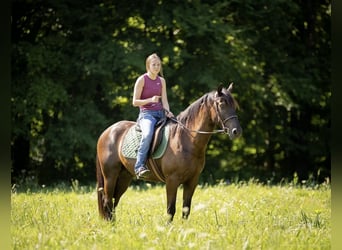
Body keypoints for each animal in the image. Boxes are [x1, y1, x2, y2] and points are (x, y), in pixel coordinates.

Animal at [95, 83, 242, 222]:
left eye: (234, 105)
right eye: (221, 103)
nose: (236, 131)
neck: (186, 139)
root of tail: (107, 132)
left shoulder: (192, 181)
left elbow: (186, 209)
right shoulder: (172, 180)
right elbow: (171, 209)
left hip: (124, 177)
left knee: (114, 201)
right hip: (110, 176)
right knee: (107, 201)